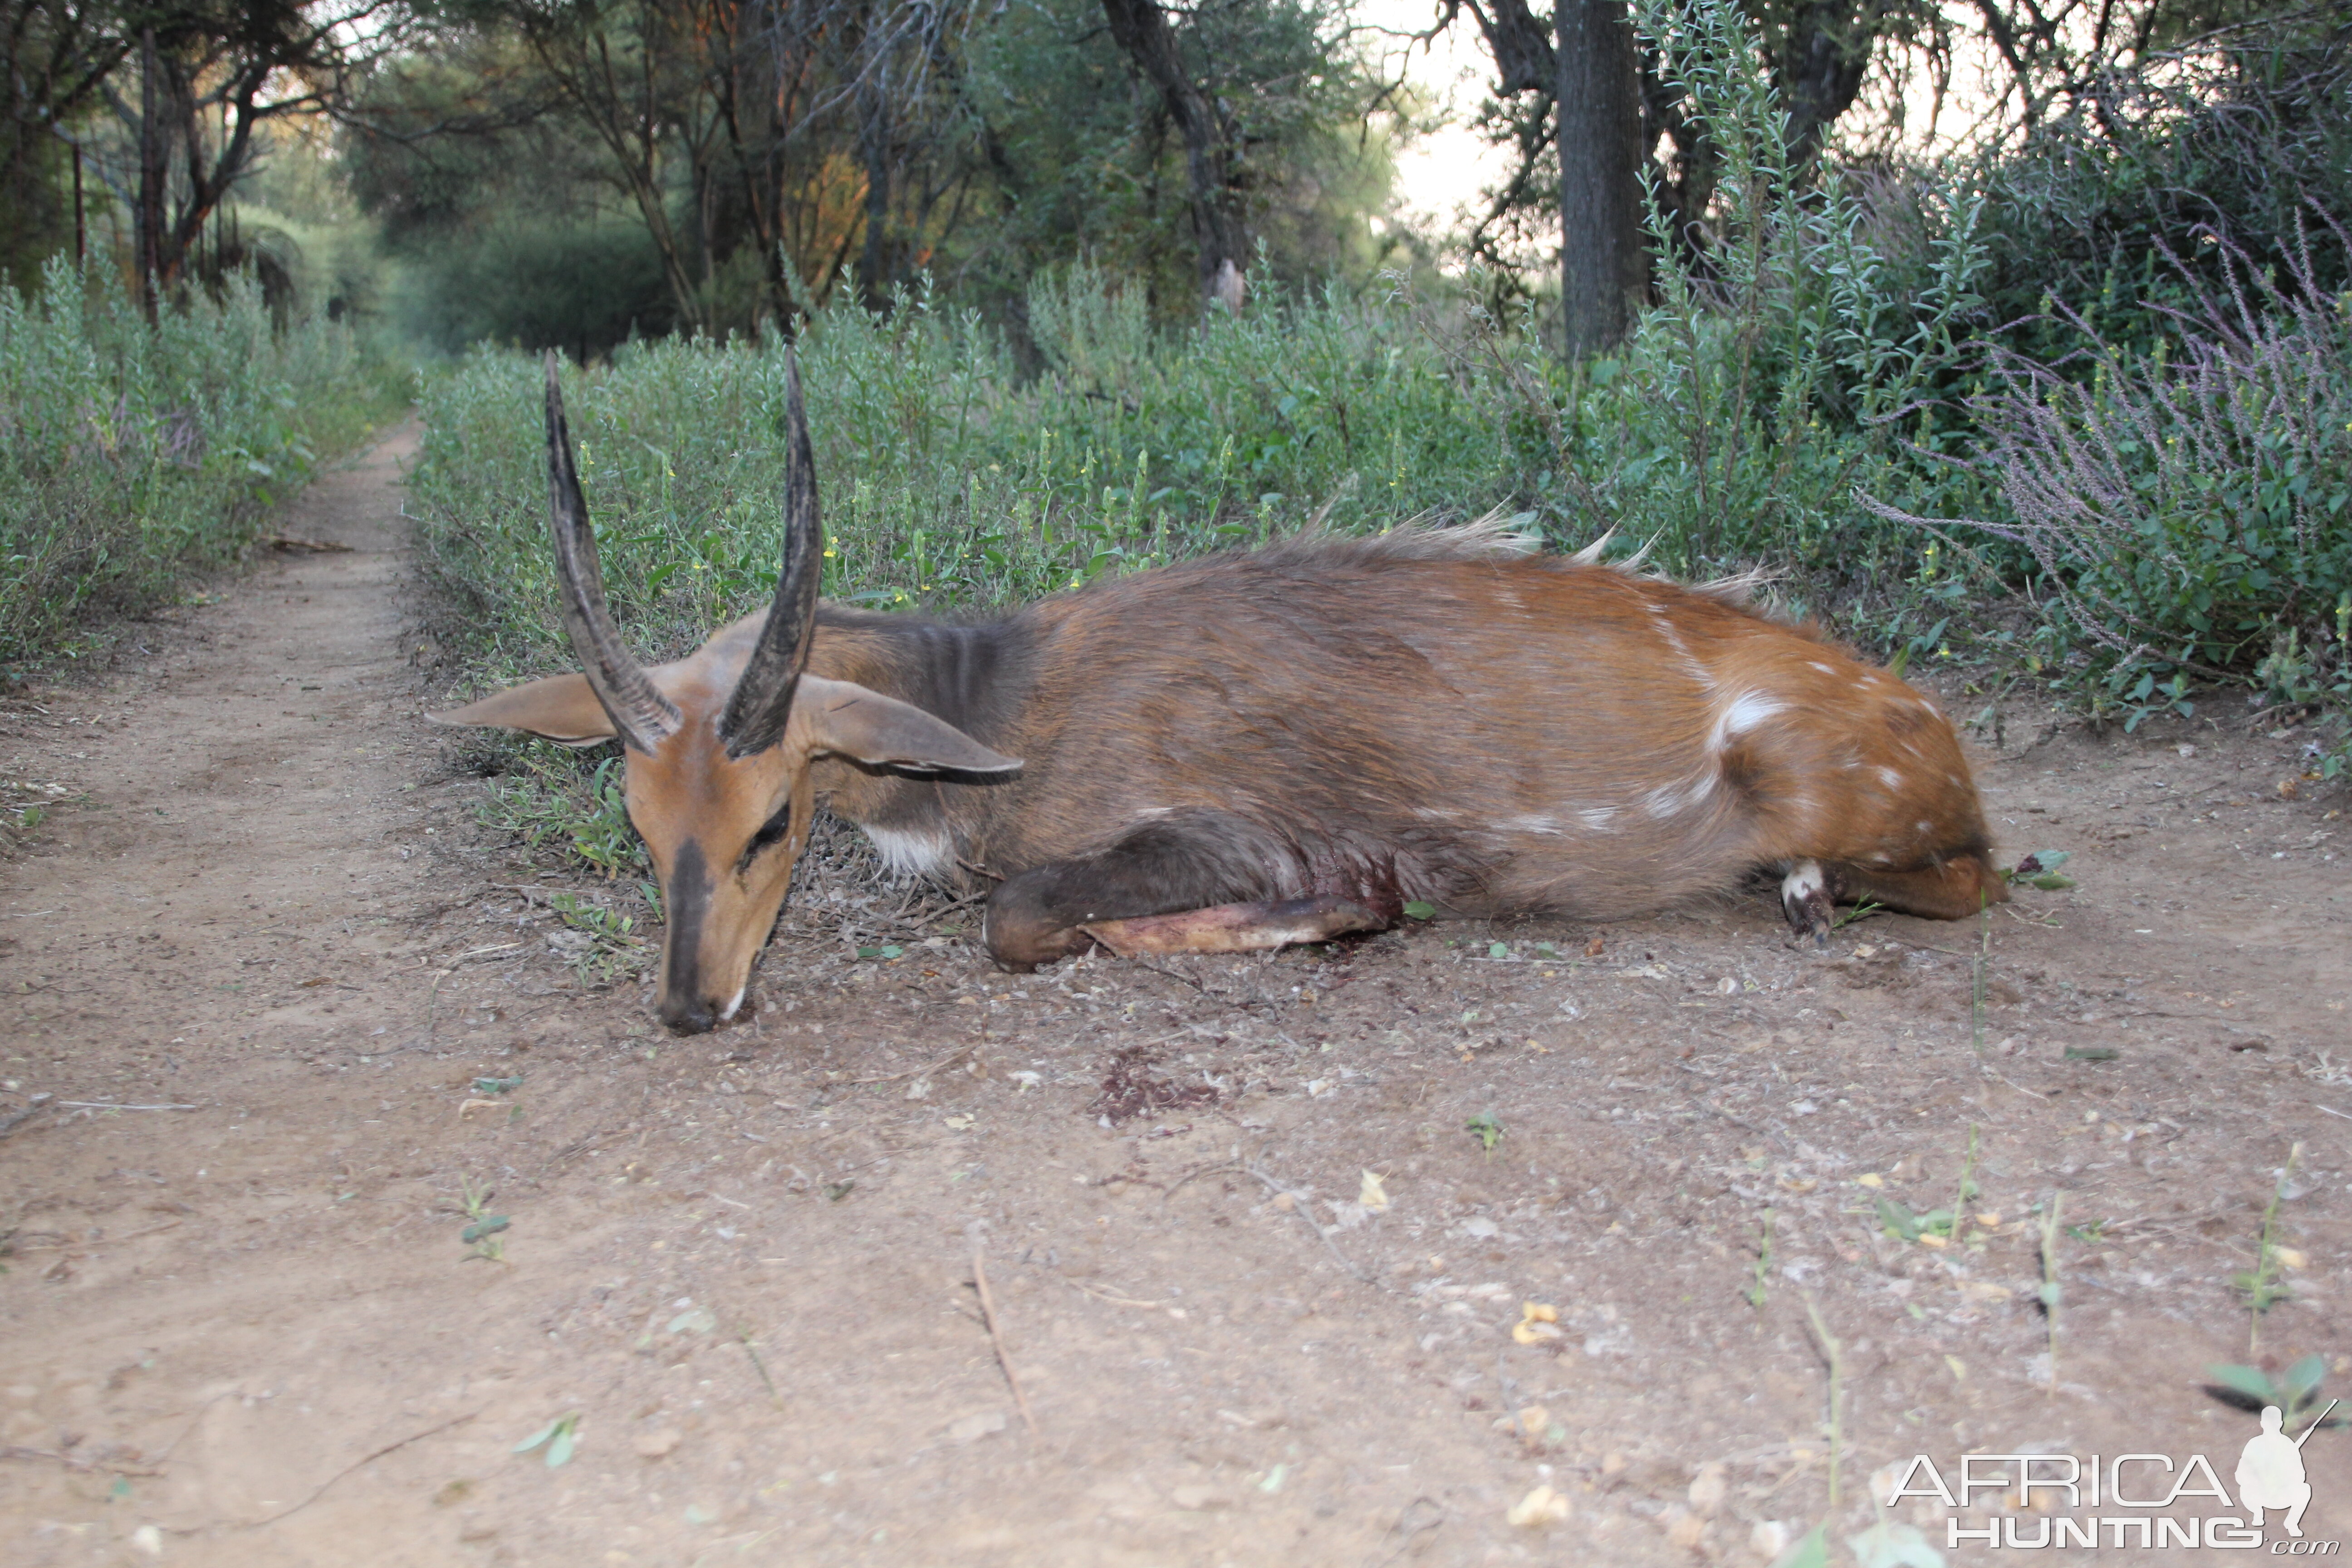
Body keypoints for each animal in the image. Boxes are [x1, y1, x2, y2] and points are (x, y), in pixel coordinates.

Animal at [432, 362, 2013, 1034]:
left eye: (769, 821)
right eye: (640, 829)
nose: (692, 1008)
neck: (1002, 709)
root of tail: (1931, 724)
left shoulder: (1221, 827)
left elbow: (1025, 919)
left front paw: (1348, 908)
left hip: (1824, 781)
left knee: (1974, 879)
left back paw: (1807, 894)